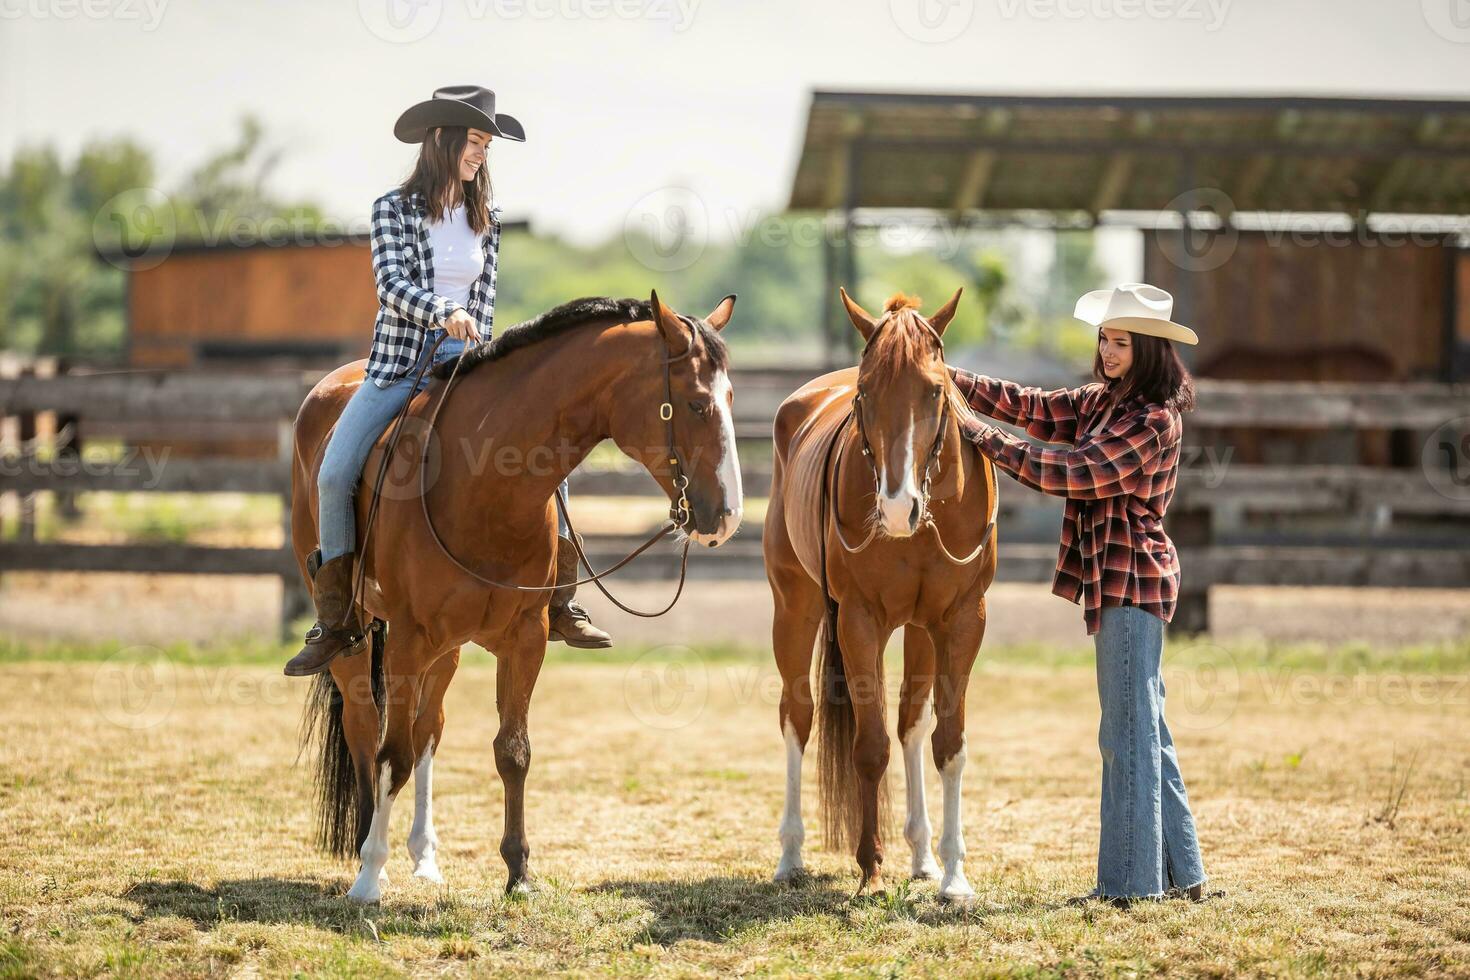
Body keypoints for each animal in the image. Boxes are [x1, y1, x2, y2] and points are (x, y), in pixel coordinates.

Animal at [292, 290, 740, 905]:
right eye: (695, 404)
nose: (727, 517)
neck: (482, 483)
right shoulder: (408, 639)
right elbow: (391, 755)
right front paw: (367, 878)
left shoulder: (525, 637)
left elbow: (512, 751)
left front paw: (519, 874)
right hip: (361, 637)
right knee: (366, 727)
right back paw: (370, 855)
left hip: (447, 650)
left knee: (428, 729)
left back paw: (424, 858)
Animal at [764, 287, 1005, 899]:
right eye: (866, 393)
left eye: (935, 389)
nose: (898, 509)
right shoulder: (859, 620)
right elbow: (869, 748)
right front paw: (870, 871)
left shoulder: (961, 621)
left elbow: (947, 743)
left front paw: (953, 876)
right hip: (796, 607)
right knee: (797, 716)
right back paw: (791, 856)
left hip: (917, 628)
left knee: (911, 724)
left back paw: (921, 855)